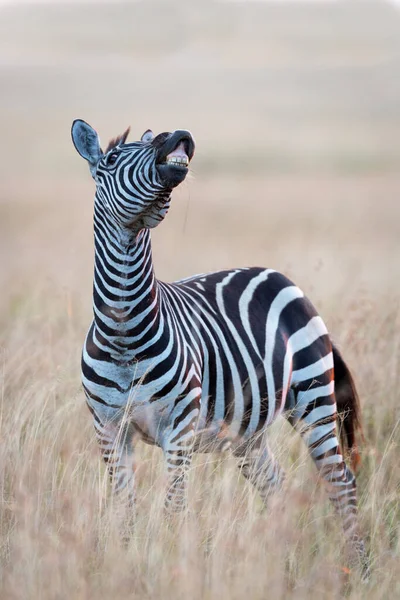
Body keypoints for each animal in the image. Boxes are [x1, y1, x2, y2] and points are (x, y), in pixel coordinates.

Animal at [70, 118, 368, 576]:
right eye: (114, 157)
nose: (176, 135)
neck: (124, 334)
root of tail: (279, 275)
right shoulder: (108, 431)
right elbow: (124, 510)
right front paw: (124, 563)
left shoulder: (179, 430)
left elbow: (174, 509)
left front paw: (169, 569)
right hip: (248, 431)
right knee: (276, 486)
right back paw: (282, 564)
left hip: (314, 399)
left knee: (341, 483)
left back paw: (360, 570)